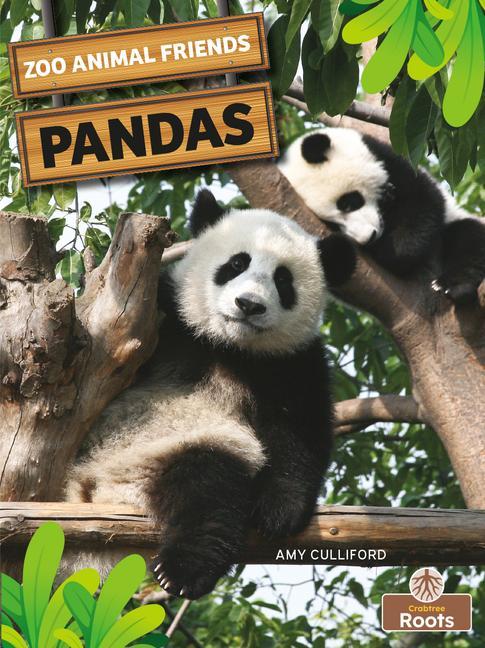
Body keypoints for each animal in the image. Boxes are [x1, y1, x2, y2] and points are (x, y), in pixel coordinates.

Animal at [66, 190, 356, 600]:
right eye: (236, 264)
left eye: (283, 280)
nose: (249, 305)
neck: (225, 344)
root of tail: (96, 492)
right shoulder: (165, 314)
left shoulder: (291, 362)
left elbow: (299, 431)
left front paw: (279, 511)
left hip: (174, 450)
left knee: (208, 490)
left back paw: (186, 568)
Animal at [279, 128, 485, 304]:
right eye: (332, 224)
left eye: (348, 203)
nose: (368, 237)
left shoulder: (392, 163)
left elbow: (422, 203)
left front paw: (391, 249)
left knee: (469, 238)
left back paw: (453, 286)